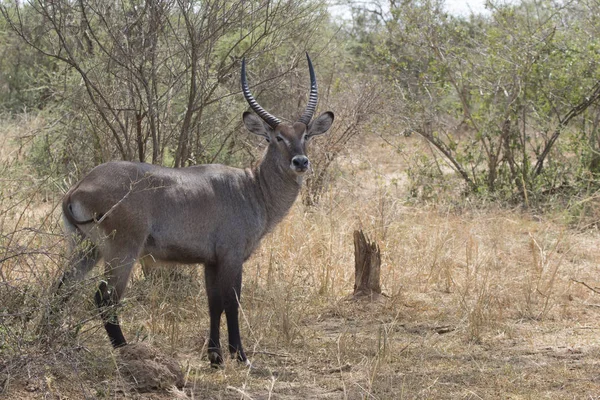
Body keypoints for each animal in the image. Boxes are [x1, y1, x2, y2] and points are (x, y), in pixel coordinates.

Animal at [57, 54, 332, 368]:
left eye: (306, 135)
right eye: (276, 138)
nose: (301, 162)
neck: (252, 187)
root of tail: (79, 186)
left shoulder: (210, 262)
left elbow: (213, 304)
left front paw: (215, 357)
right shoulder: (231, 256)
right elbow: (232, 302)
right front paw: (240, 356)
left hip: (85, 249)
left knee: (61, 290)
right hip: (121, 253)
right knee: (104, 299)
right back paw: (125, 351)